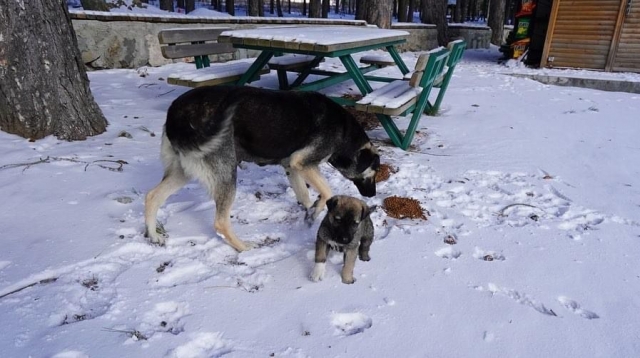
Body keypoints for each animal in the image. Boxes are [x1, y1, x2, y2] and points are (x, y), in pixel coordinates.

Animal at [144, 86, 380, 252]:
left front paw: (310, 214)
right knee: (220, 222)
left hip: (182, 171)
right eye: (375, 173)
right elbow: (327, 191)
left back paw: (153, 235)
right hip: (226, 172)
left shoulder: (292, 166)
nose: (373, 194)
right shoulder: (302, 162)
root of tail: (176, 112)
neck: (344, 132)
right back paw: (243, 247)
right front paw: (316, 210)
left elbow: (304, 195)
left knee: (152, 196)